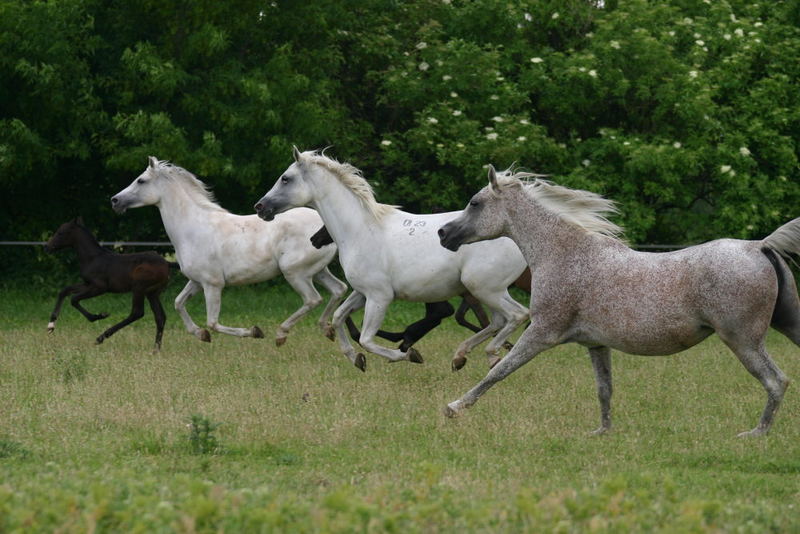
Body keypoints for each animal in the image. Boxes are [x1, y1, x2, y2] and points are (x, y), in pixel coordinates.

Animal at [111, 157, 348, 346]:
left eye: (141, 180)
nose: (115, 200)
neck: (193, 228)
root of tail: (327, 225)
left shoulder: (212, 284)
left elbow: (213, 322)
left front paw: (254, 331)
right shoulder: (197, 281)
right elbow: (178, 303)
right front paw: (200, 334)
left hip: (295, 272)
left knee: (313, 299)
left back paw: (281, 334)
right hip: (317, 271)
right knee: (338, 289)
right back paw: (327, 329)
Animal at [256, 148, 532, 372]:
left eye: (285, 178)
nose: (260, 207)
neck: (361, 230)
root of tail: (514, 233)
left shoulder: (380, 297)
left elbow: (367, 339)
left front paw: (408, 355)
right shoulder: (362, 292)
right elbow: (339, 318)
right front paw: (356, 359)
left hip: (485, 288)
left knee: (518, 315)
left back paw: (491, 355)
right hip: (486, 291)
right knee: (498, 320)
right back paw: (461, 357)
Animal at [438, 168, 800, 440]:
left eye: (475, 203)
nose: (443, 234)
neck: (564, 254)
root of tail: (760, 246)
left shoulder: (541, 333)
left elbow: (498, 372)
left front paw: (454, 407)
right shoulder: (596, 345)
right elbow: (604, 389)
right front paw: (602, 432)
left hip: (743, 340)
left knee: (776, 381)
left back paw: (756, 434)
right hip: (785, 326)